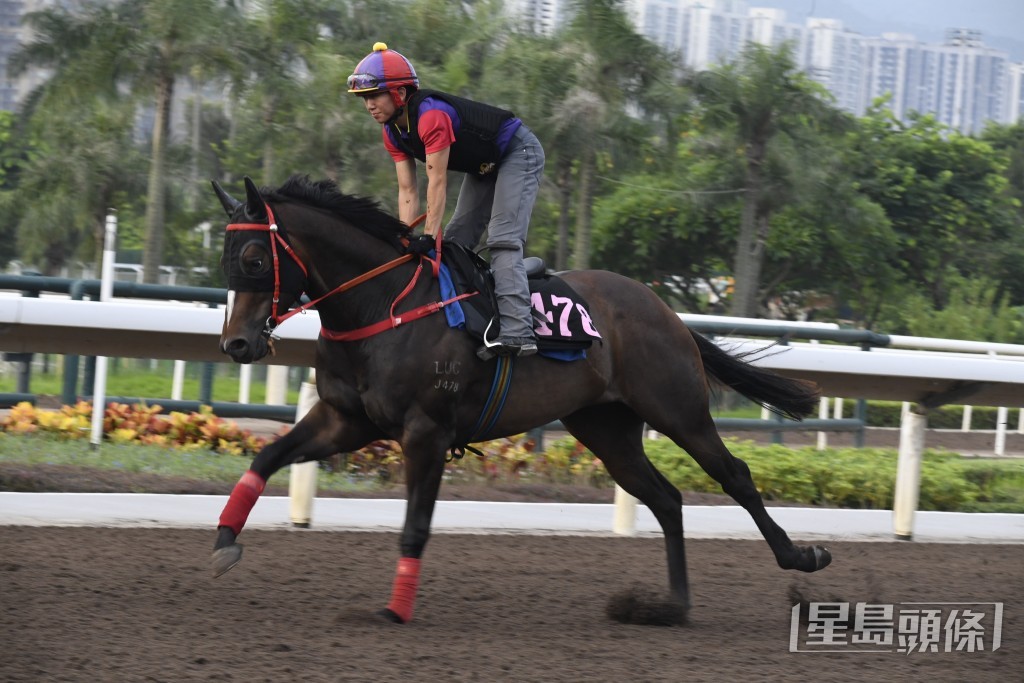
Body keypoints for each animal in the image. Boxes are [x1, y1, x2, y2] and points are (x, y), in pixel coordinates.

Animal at [207, 175, 831, 626]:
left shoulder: (426, 431)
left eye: (255, 259)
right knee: (667, 499)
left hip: (677, 409)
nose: (236, 343)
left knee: (735, 475)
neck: (380, 306)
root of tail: (666, 311)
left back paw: (801, 557)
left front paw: (393, 611)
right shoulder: (346, 419)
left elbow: (416, 526)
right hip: (606, 429)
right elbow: (267, 456)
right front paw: (224, 539)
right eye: (225, 258)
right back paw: (670, 607)